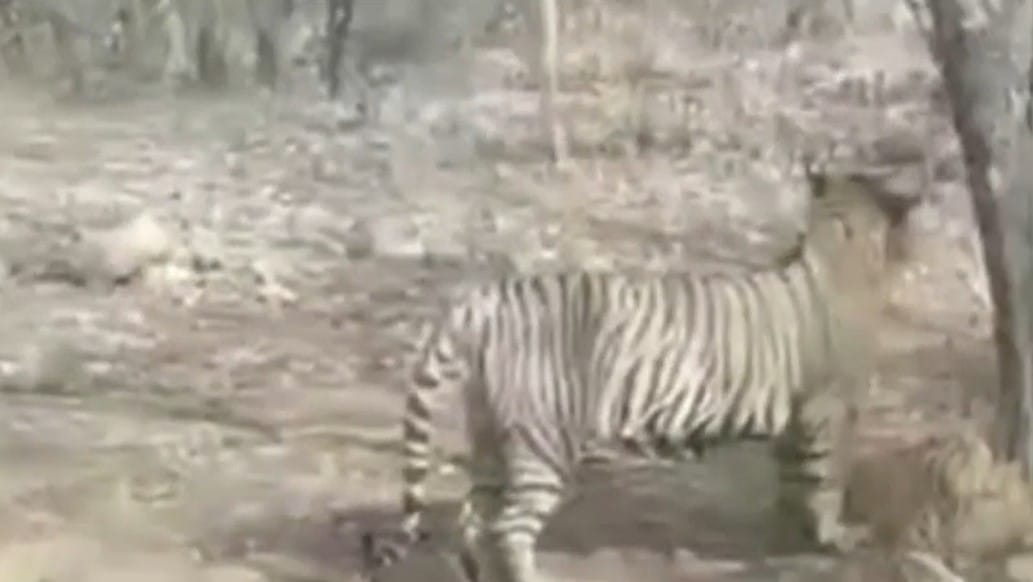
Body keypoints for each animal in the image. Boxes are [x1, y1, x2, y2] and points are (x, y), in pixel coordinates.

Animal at [359, 164, 888, 582]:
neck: (830, 245)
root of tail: (481, 302)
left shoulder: (798, 417)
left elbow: (795, 479)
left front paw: (791, 535)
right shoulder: (830, 410)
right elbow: (826, 479)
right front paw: (834, 538)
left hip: (490, 435)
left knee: (472, 520)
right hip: (543, 442)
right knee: (509, 528)